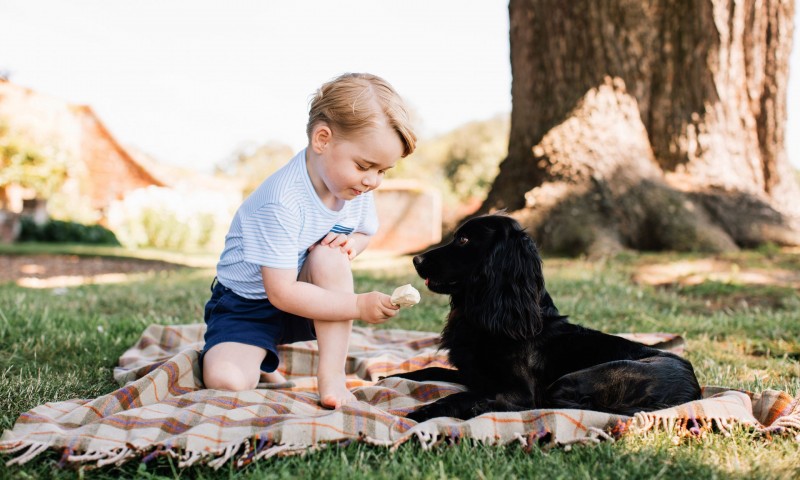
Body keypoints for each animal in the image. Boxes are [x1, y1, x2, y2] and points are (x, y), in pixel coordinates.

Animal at [394, 216, 700, 422]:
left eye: (464, 240)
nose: (416, 260)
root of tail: (692, 392)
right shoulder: (473, 374)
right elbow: (427, 371)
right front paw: (391, 376)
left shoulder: (518, 389)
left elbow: (466, 395)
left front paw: (425, 411)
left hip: (577, 378)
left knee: (548, 405)